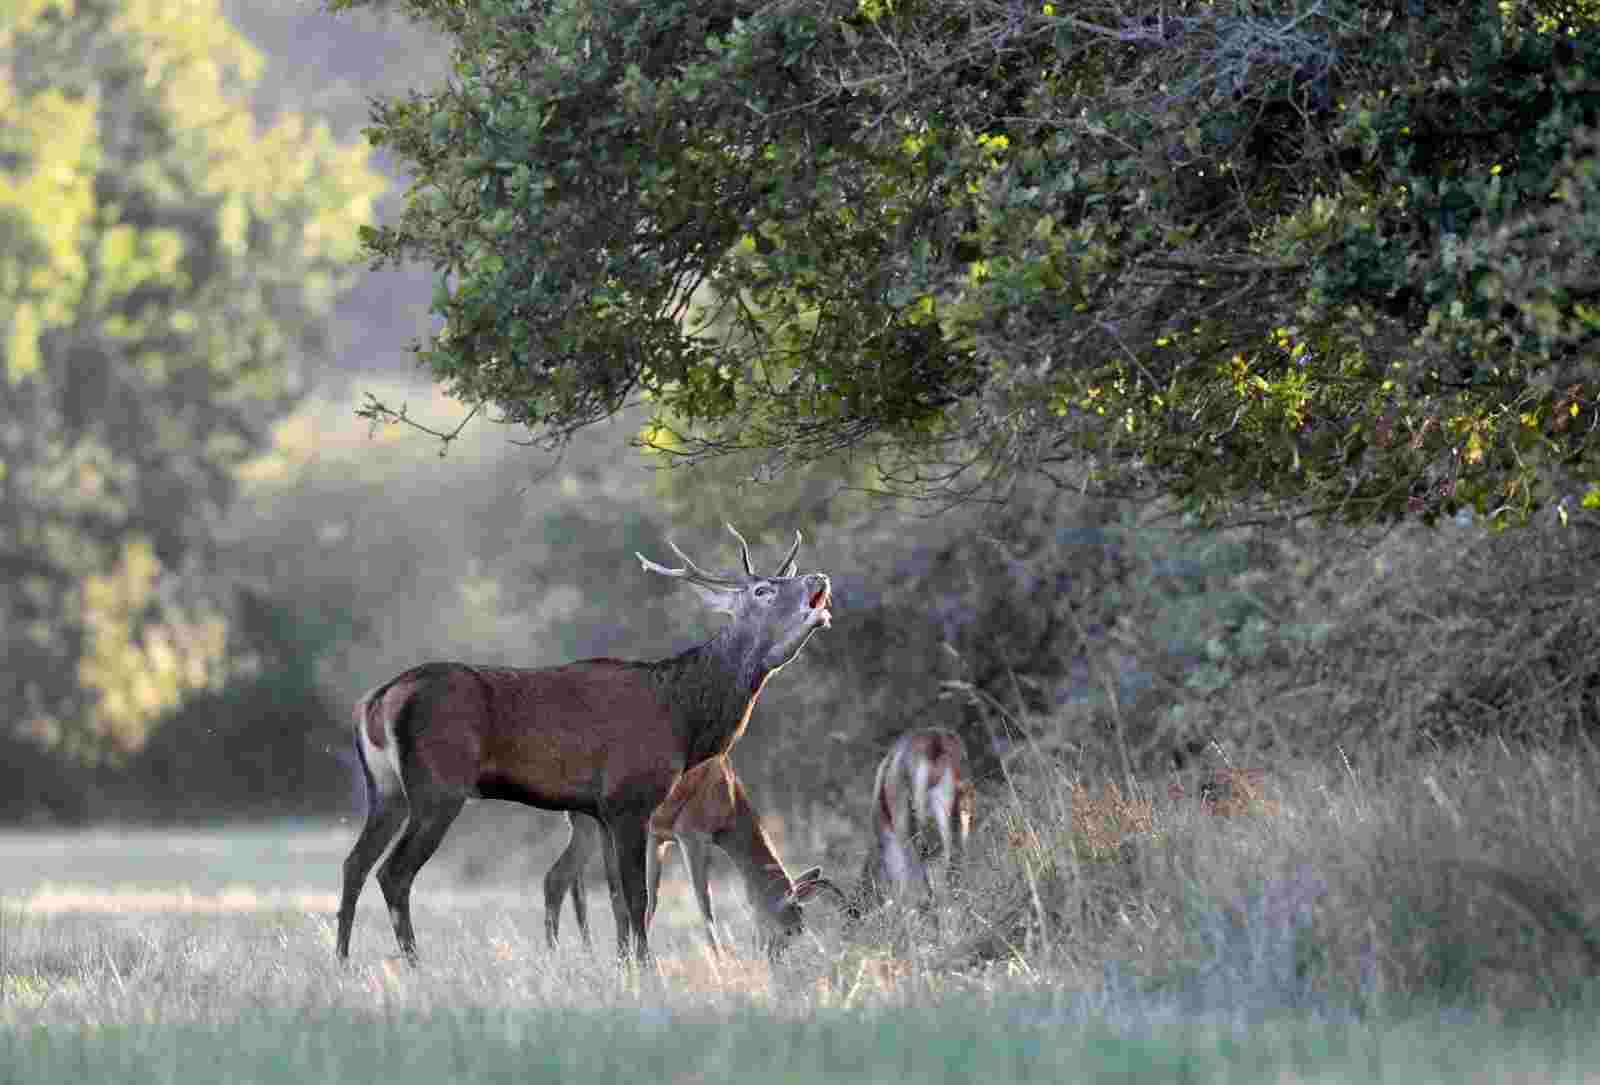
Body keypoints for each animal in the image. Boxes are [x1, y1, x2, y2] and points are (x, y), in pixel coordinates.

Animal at [544, 755, 844, 960]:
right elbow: (704, 904)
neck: (728, 793)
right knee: (557, 878)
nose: (773, 959)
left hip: (591, 830)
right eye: (792, 928)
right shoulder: (691, 837)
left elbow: (651, 900)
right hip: (592, 829)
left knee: (570, 882)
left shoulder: (658, 839)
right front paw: (720, 962)